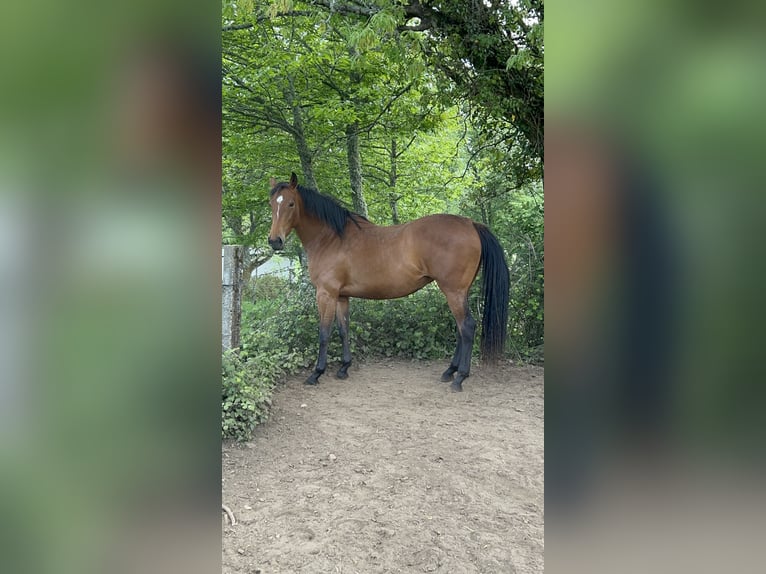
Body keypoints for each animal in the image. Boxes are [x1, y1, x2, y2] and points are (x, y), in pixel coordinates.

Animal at [270, 173, 510, 394]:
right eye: (272, 203)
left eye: (291, 204)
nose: (274, 241)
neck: (331, 238)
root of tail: (470, 223)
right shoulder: (341, 296)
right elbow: (343, 330)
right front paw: (344, 368)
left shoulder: (325, 294)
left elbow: (324, 333)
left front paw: (316, 373)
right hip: (459, 292)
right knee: (460, 329)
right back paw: (449, 371)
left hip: (454, 292)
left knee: (467, 327)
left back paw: (460, 378)